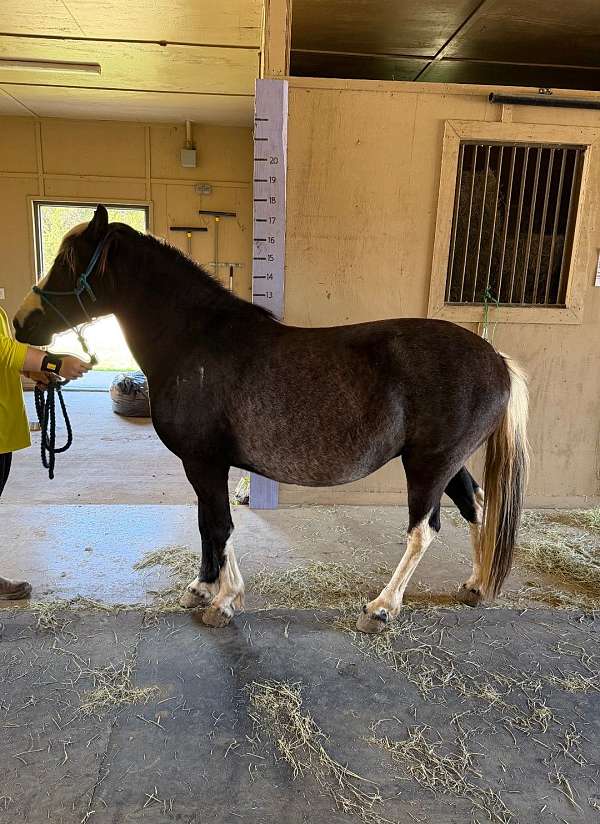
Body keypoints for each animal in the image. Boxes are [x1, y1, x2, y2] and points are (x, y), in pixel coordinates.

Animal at [14, 205, 529, 633]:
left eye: (67, 262)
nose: (20, 324)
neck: (196, 342)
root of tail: (497, 360)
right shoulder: (206, 464)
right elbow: (208, 522)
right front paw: (205, 588)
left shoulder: (204, 461)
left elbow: (218, 525)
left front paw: (223, 603)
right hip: (446, 464)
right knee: (476, 506)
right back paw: (476, 585)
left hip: (427, 466)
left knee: (424, 531)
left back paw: (381, 608)